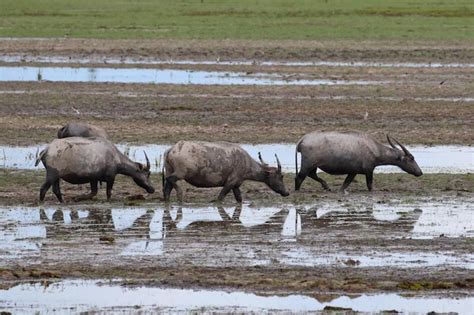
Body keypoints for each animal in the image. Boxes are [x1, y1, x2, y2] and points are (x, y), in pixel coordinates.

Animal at [294, 131, 424, 193]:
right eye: (412, 158)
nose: (420, 172)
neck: (374, 148)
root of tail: (303, 139)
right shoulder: (369, 171)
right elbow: (370, 185)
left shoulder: (353, 172)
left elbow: (345, 184)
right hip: (307, 164)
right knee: (299, 177)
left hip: (313, 166)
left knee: (312, 174)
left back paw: (326, 186)